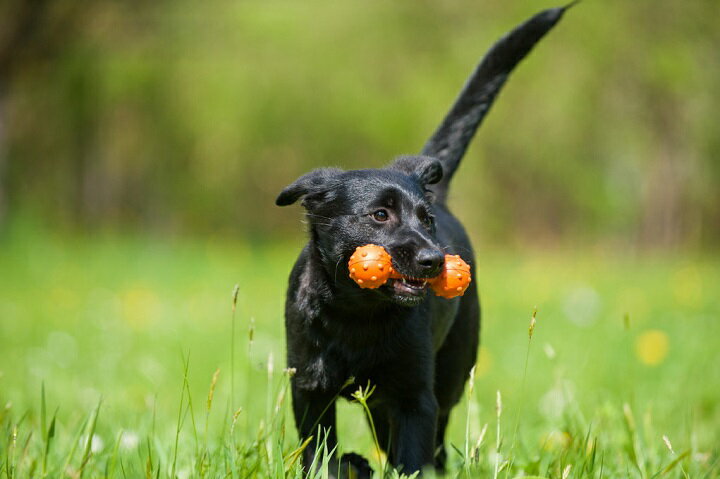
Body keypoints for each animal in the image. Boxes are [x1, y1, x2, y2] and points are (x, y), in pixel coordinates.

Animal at [276, 6, 568, 476]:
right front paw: (344, 465)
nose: (434, 259)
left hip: (450, 372)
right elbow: (320, 452)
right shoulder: (310, 388)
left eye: (425, 221)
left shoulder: (416, 397)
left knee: (437, 442)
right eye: (380, 215)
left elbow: (413, 456)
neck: (360, 315)